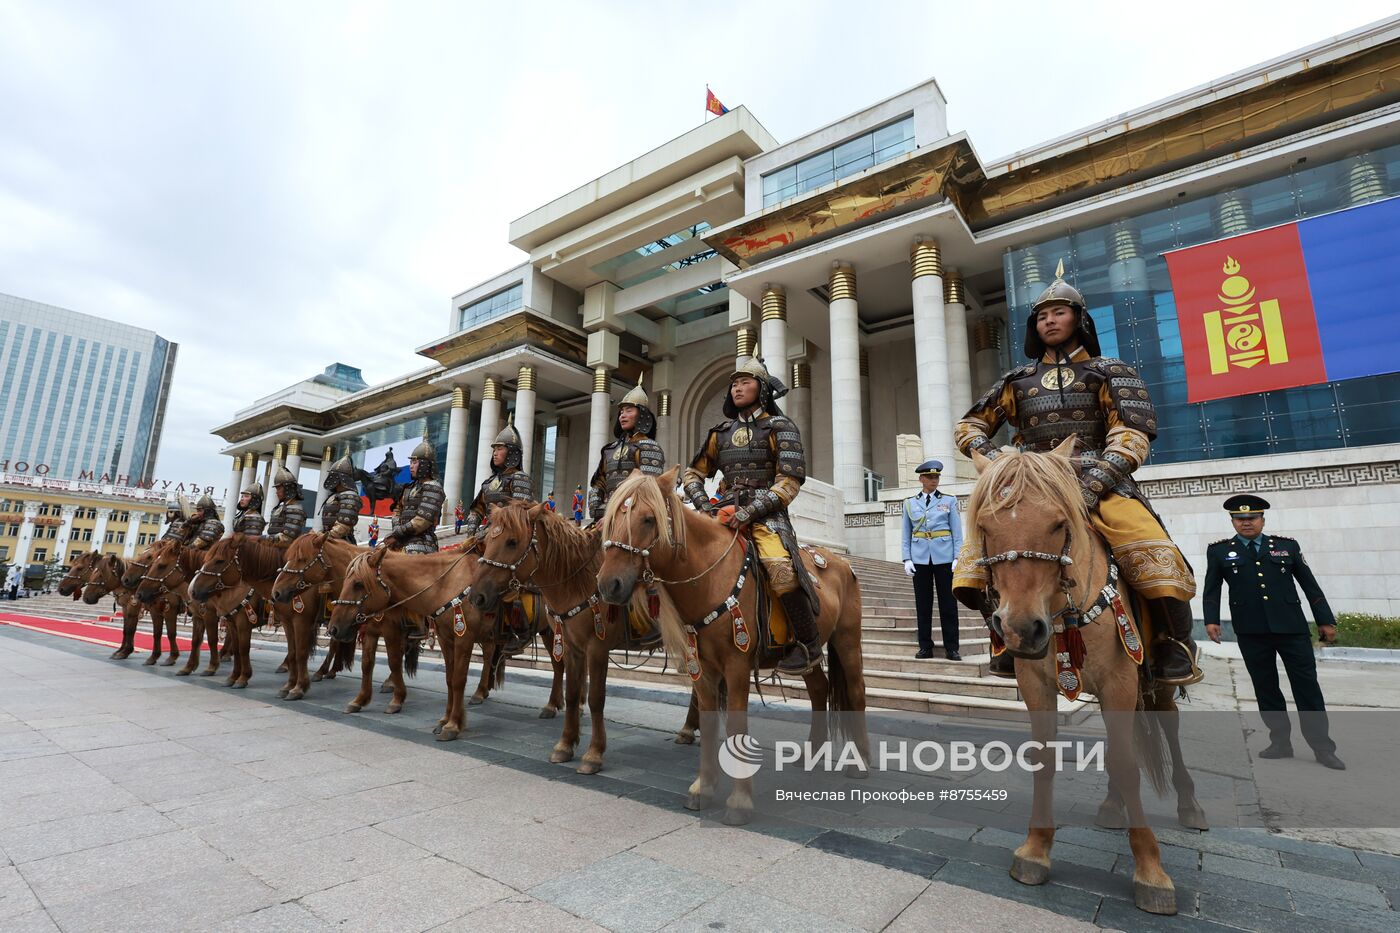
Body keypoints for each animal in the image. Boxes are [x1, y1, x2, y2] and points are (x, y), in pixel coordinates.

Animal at [470, 501, 700, 767]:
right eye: (488, 540)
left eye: (512, 541)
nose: (477, 595)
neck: (577, 581)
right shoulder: (572, 646)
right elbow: (571, 692)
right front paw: (565, 744)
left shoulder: (597, 648)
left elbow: (596, 698)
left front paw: (594, 753)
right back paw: (689, 729)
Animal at [590, 465, 862, 823]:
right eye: (611, 518)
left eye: (648, 519)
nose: (610, 585)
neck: (708, 578)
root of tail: (842, 562)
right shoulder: (703, 668)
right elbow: (708, 720)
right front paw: (703, 788)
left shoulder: (737, 665)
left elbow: (735, 722)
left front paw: (739, 801)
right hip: (807, 655)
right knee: (819, 688)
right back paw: (812, 754)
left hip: (847, 638)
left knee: (855, 690)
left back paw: (860, 764)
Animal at [963, 437, 1204, 913]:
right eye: (984, 525)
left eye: (1059, 523)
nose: (1020, 629)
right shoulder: (1036, 685)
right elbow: (1045, 758)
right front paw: (1036, 849)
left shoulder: (1120, 681)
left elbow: (1129, 764)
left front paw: (1151, 871)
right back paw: (1112, 805)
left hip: (1155, 682)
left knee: (1167, 729)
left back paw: (1188, 804)